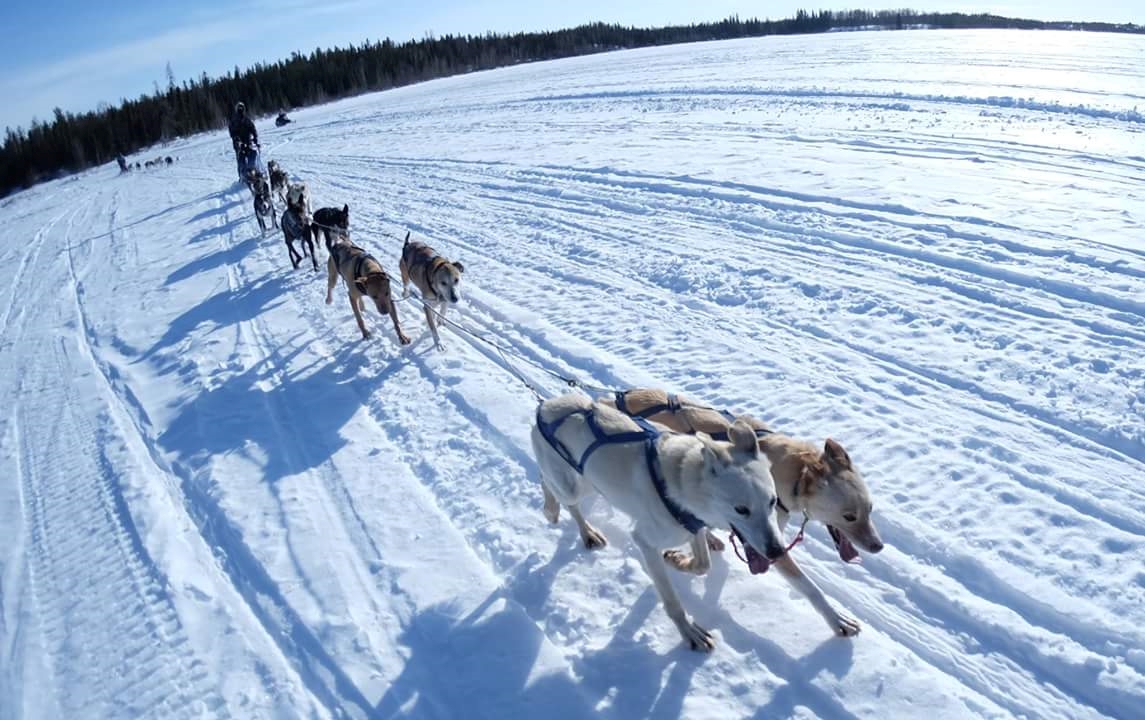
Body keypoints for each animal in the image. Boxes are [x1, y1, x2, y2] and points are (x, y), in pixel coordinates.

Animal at [528, 393, 787, 650]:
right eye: (741, 509)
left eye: (773, 501)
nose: (777, 551)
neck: (682, 480)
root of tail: (547, 406)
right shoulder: (646, 542)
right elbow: (672, 601)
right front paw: (688, 631)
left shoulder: (691, 527)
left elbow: (703, 564)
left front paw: (679, 560)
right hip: (572, 486)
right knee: (556, 489)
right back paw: (564, 517)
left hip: (591, 480)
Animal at [609, 386, 883, 636]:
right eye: (849, 516)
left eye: (870, 509)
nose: (878, 546)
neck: (791, 473)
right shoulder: (769, 542)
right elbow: (810, 587)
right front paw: (837, 620)